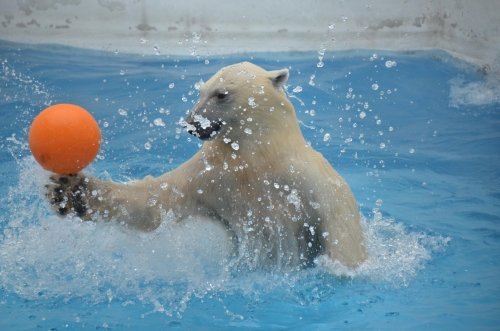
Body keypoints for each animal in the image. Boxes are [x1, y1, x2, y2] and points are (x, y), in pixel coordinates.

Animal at [46, 62, 368, 270]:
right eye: (201, 91)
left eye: (221, 94)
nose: (191, 123)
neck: (259, 155)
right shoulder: (209, 178)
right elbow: (154, 201)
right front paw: (70, 191)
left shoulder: (310, 180)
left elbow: (341, 227)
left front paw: (341, 269)